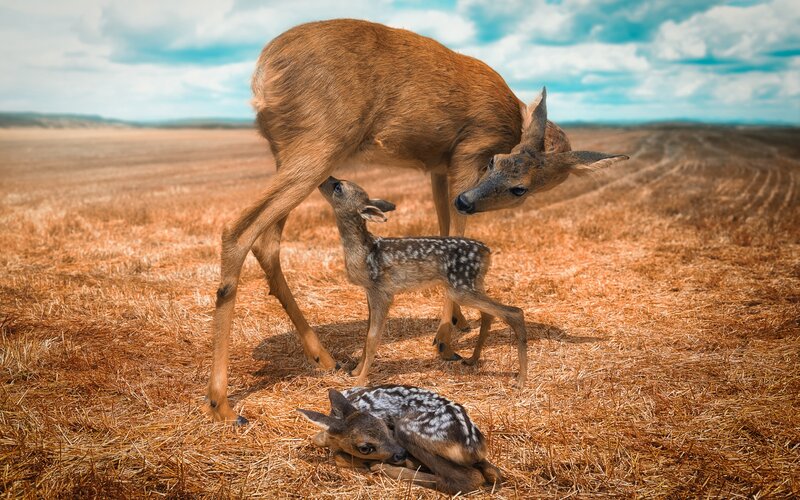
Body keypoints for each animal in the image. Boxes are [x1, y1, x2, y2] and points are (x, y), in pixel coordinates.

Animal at [298, 385, 503, 495]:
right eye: (364, 447)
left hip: (406, 427)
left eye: (386, 425)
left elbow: (336, 454)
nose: (401, 454)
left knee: (467, 478)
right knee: (493, 472)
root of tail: (472, 446)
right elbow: (319, 439)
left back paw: (382, 467)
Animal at [319, 176, 527, 387]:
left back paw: (521, 379)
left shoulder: (382, 292)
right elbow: (367, 335)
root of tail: (487, 251)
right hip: (472, 283)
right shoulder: (370, 292)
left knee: (514, 312)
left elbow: (372, 339)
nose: (325, 179)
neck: (364, 252)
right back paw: (472, 359)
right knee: (489, 315)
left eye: (339, 187)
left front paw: (360, 382)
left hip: (461, 287)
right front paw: (355, 372)